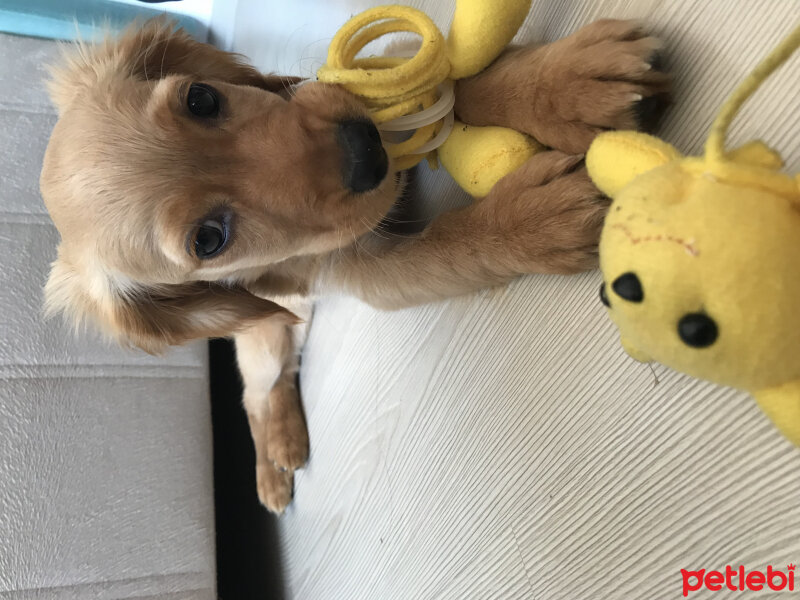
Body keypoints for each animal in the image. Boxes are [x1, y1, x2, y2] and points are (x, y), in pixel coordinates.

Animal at [42, 19, 668, 516]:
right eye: (208, 239)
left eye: (201, 99)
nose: (366, 150)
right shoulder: (367, 270)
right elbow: (451, 244)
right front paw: (530, 218)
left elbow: (456, 86)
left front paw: (561, 83)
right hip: (269, 332)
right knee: (255, 394)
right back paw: (273, 468)